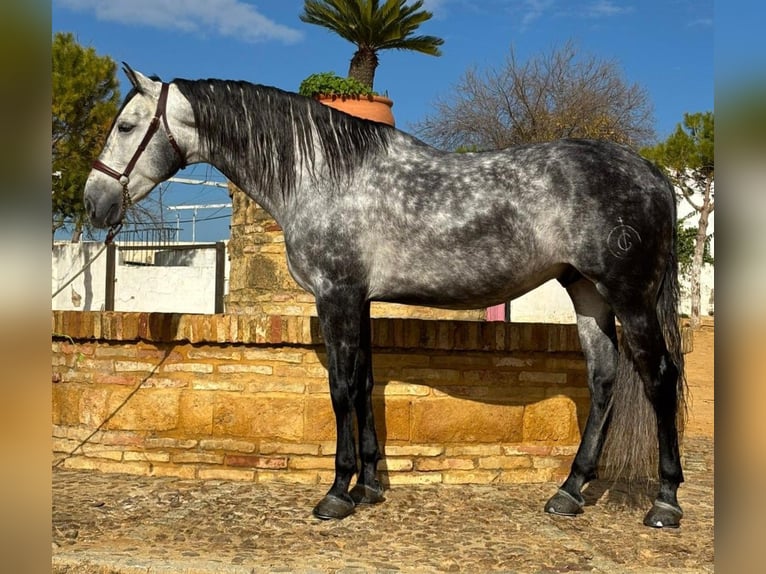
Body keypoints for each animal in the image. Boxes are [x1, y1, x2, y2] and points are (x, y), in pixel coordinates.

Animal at [84, 64, 687, 528]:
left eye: (127, 124)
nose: (94, 201)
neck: (323, 175)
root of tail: (653, 173)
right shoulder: (361, 300)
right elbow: (365, 383)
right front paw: (369, 484)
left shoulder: (337, 296)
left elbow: (340, 389)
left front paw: (336, 492)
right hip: (586, 293)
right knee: (604, 380)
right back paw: (569, 491)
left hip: (629, 298)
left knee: (658, 378)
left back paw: (665, 502)